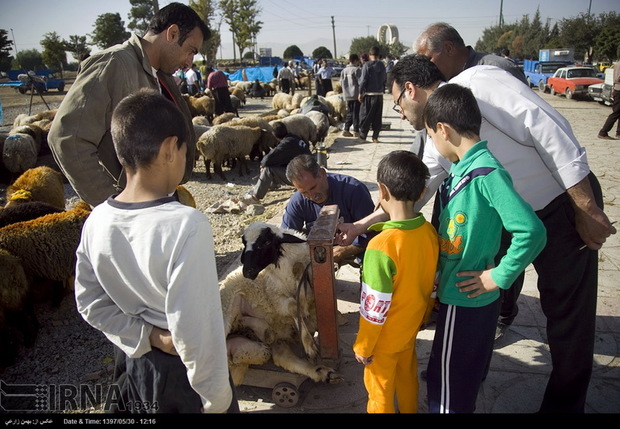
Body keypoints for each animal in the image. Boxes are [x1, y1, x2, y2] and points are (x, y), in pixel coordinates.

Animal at [219, 222, 344, 386]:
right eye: (244, 243)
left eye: (266, 242)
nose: (247, 272)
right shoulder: (276, 299)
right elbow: (293, 305)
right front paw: (309, 344)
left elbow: (299, 275)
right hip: (228, 310)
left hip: (270, 341)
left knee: (280, 356)